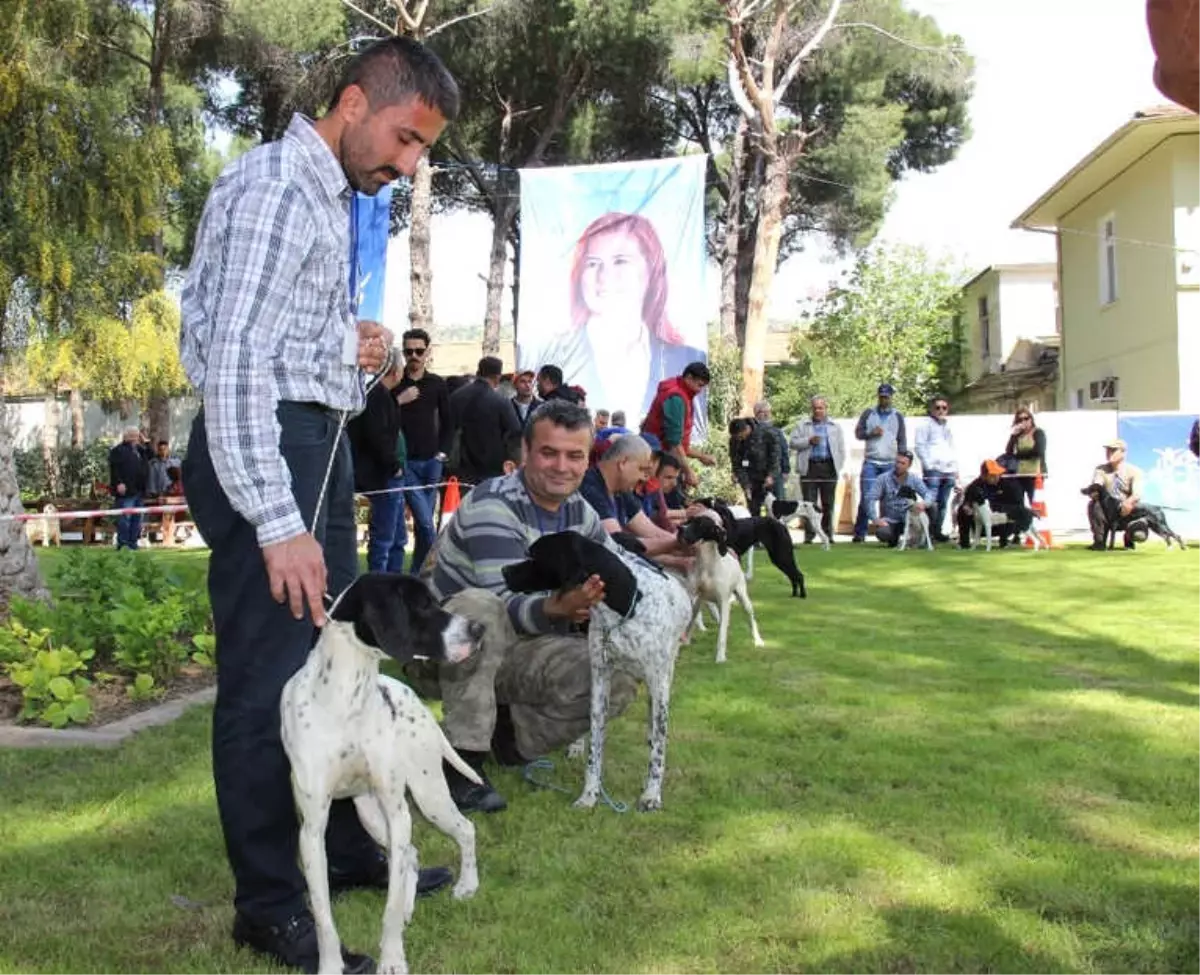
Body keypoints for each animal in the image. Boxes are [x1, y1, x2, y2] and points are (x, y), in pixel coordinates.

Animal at [279, 571, 482, 975]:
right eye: (422, 605)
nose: (478, 629)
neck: (347, 698)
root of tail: (413, 697)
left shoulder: (397, 811)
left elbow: (388, 907)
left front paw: (392, 959)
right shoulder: (312, 832)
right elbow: (324, 919)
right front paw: (330, 966)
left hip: (426, 797)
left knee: (464, 830)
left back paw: (467, 885)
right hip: (372, 814)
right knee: (413, 856)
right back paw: (411, 905)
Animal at [501, 528, 691, 811]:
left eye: (534, 555)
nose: (503, 570)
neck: (625, 607)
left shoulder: (658, 681)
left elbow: (658, 747)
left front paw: (651, 795)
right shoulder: (600, 677)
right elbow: (595, 745)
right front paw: (590, 794)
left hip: (665, 672)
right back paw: (576, 746)